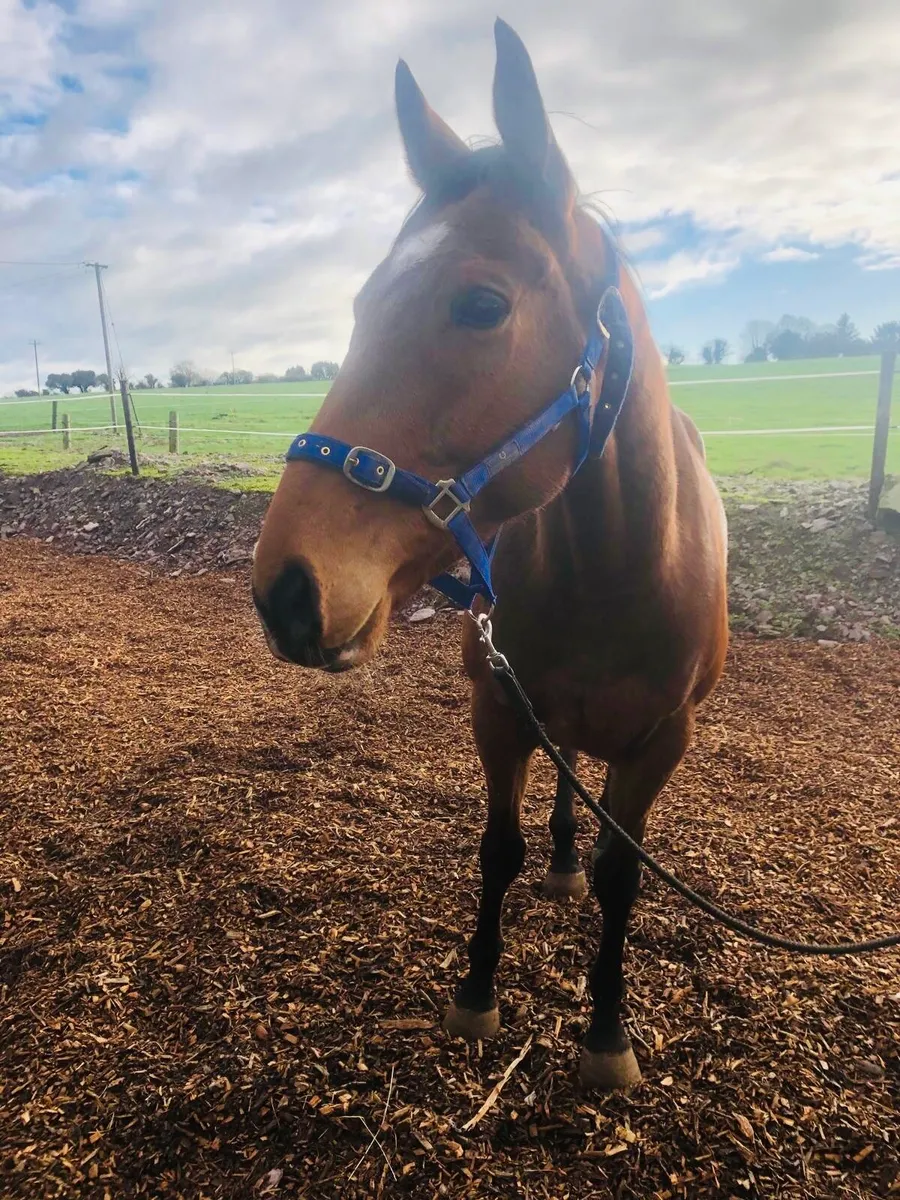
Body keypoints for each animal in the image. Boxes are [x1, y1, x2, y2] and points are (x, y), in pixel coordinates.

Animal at [251, 18, 729, 1091]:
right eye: (360, 304)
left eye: (480, 305)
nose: (287, 590)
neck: (621, 570)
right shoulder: (498, 709)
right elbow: (498, 849)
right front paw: (476, 992)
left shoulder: (662, 742)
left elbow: (624, 876)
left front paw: (607, 1034)